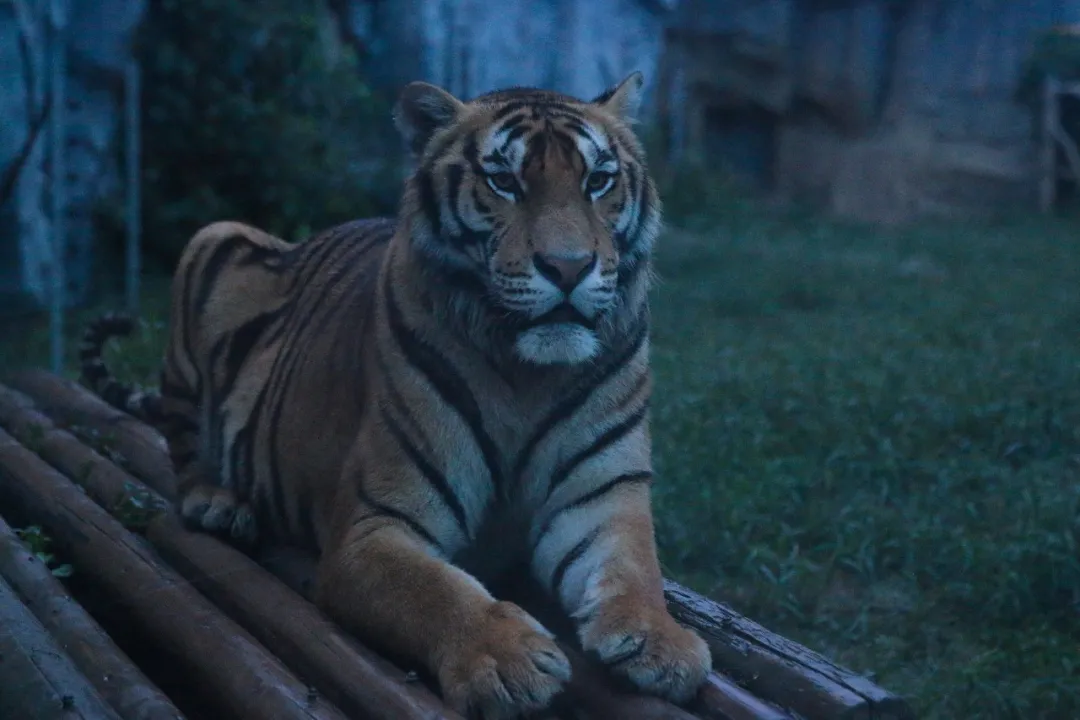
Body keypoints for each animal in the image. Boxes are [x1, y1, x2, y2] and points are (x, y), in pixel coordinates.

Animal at [79, 73, 712, 720]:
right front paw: (506, 660)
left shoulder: (601, 496)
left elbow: (635, 567)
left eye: (598, 181)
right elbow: (432, 591)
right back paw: (217, 503)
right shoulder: (373, 526)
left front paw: (662, 642)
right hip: (214, 240)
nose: (568, 268)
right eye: (504, 181)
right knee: (184, 452)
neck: (528, 374)